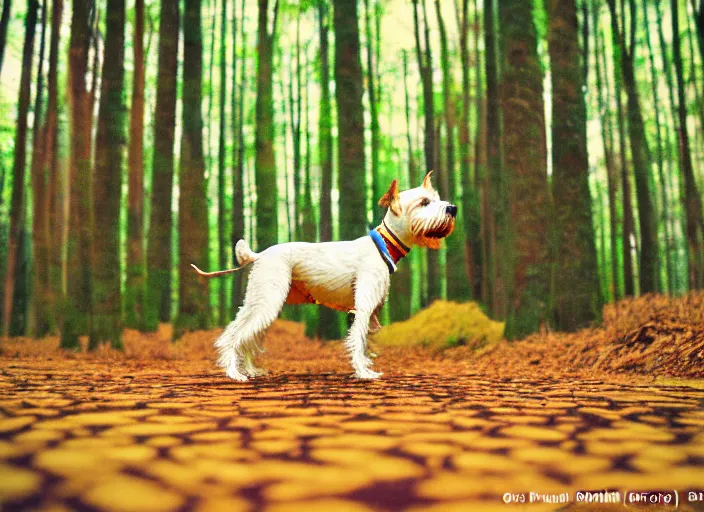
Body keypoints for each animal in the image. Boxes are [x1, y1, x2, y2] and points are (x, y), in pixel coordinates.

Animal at [191, 172, 456, 380]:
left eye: (435, 198)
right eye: (424, 202)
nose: (452, 208)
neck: (383, 246)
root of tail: (260, 255)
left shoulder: (370, 313)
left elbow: (366, 344)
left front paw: (367, 367)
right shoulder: (363, 308)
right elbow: (357, 342)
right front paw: (363, 373)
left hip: (261, 305)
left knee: (246, 337)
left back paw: (250, 370)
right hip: (265, 303)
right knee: (232, 336)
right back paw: (234, 373)